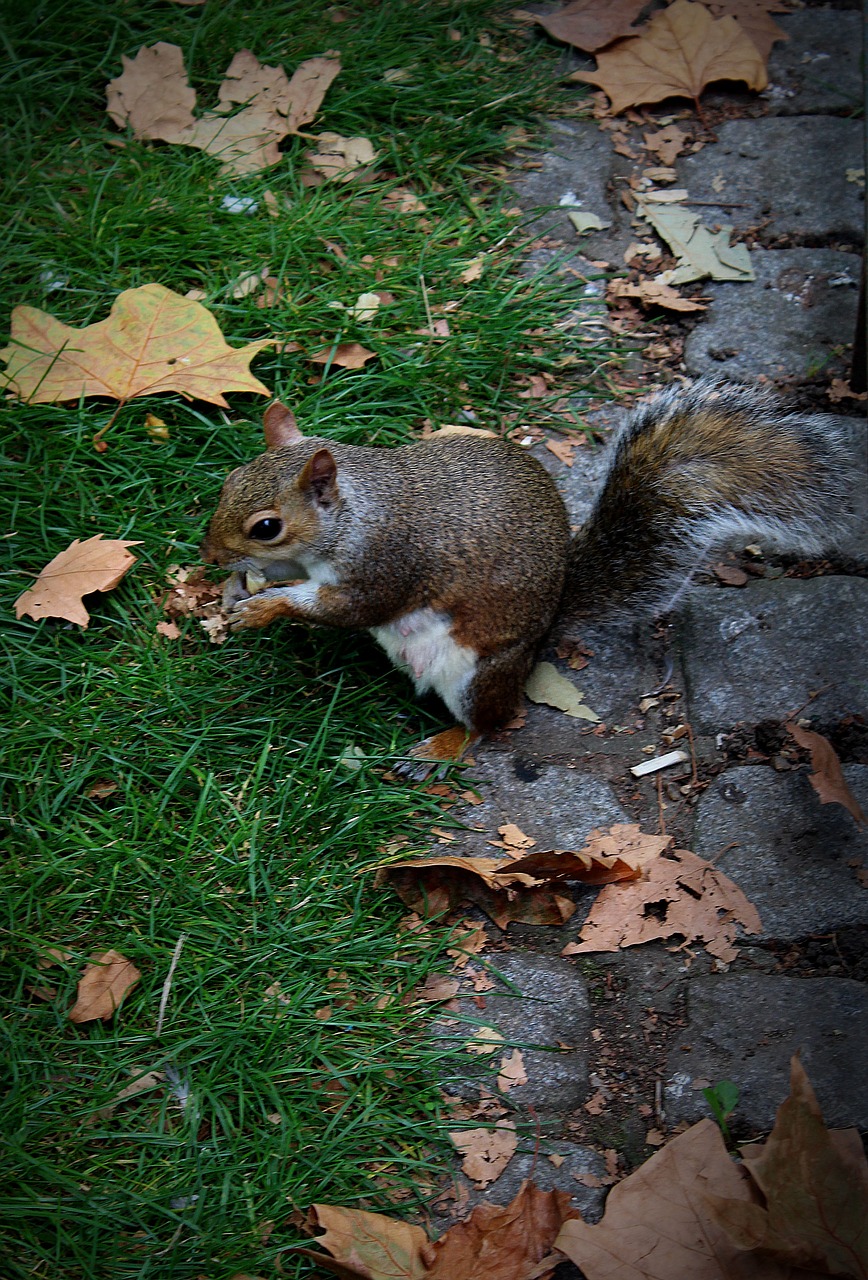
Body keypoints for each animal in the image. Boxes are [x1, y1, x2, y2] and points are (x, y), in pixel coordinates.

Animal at [200, 376, 855, 742]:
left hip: (479, 672)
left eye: (267, 527)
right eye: (228, 482)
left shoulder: (388, 564)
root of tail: (547, 624)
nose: (208, 553)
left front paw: (265, 608)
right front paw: (237, 586)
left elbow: (347, 609)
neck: (354, 513)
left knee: (490, 725)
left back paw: (443, 750)